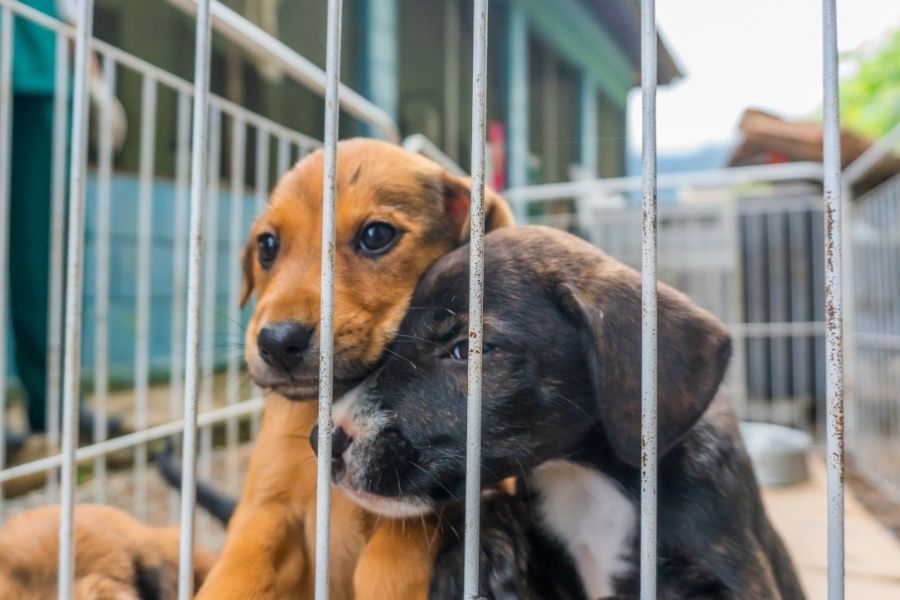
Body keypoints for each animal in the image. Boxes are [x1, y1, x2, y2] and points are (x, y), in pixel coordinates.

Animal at [198, 138, 516, 596]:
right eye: (267, 246)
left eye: (376, 235)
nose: (277, 342)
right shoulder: (266, 507)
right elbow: (238, 570)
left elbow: (387, 562)